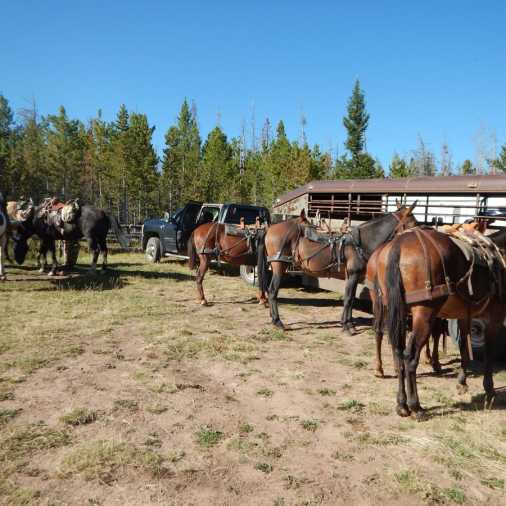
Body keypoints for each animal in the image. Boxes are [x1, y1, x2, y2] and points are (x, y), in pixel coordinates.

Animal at [258, 204, 418, 330]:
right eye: (413, 222)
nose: (418, 238)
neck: (359, 243)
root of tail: (270, 229)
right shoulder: (353, 275)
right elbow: (347, 299)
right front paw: (347, 327)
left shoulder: (353, 276)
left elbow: (351, 298)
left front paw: (348, 323)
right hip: (279, 265)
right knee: (272, 291)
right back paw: (278, 322)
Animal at [372, 226, 506, 420]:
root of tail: (399, 245)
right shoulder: (494, 319)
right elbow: (488, 355)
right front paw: (489, 390)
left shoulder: (464, 316)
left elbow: (464, 348)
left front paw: (462, 382)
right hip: (424, 315)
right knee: (410, 357)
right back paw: (416, 406)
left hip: (396, 311)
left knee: (398, 353)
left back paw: (402, 404)